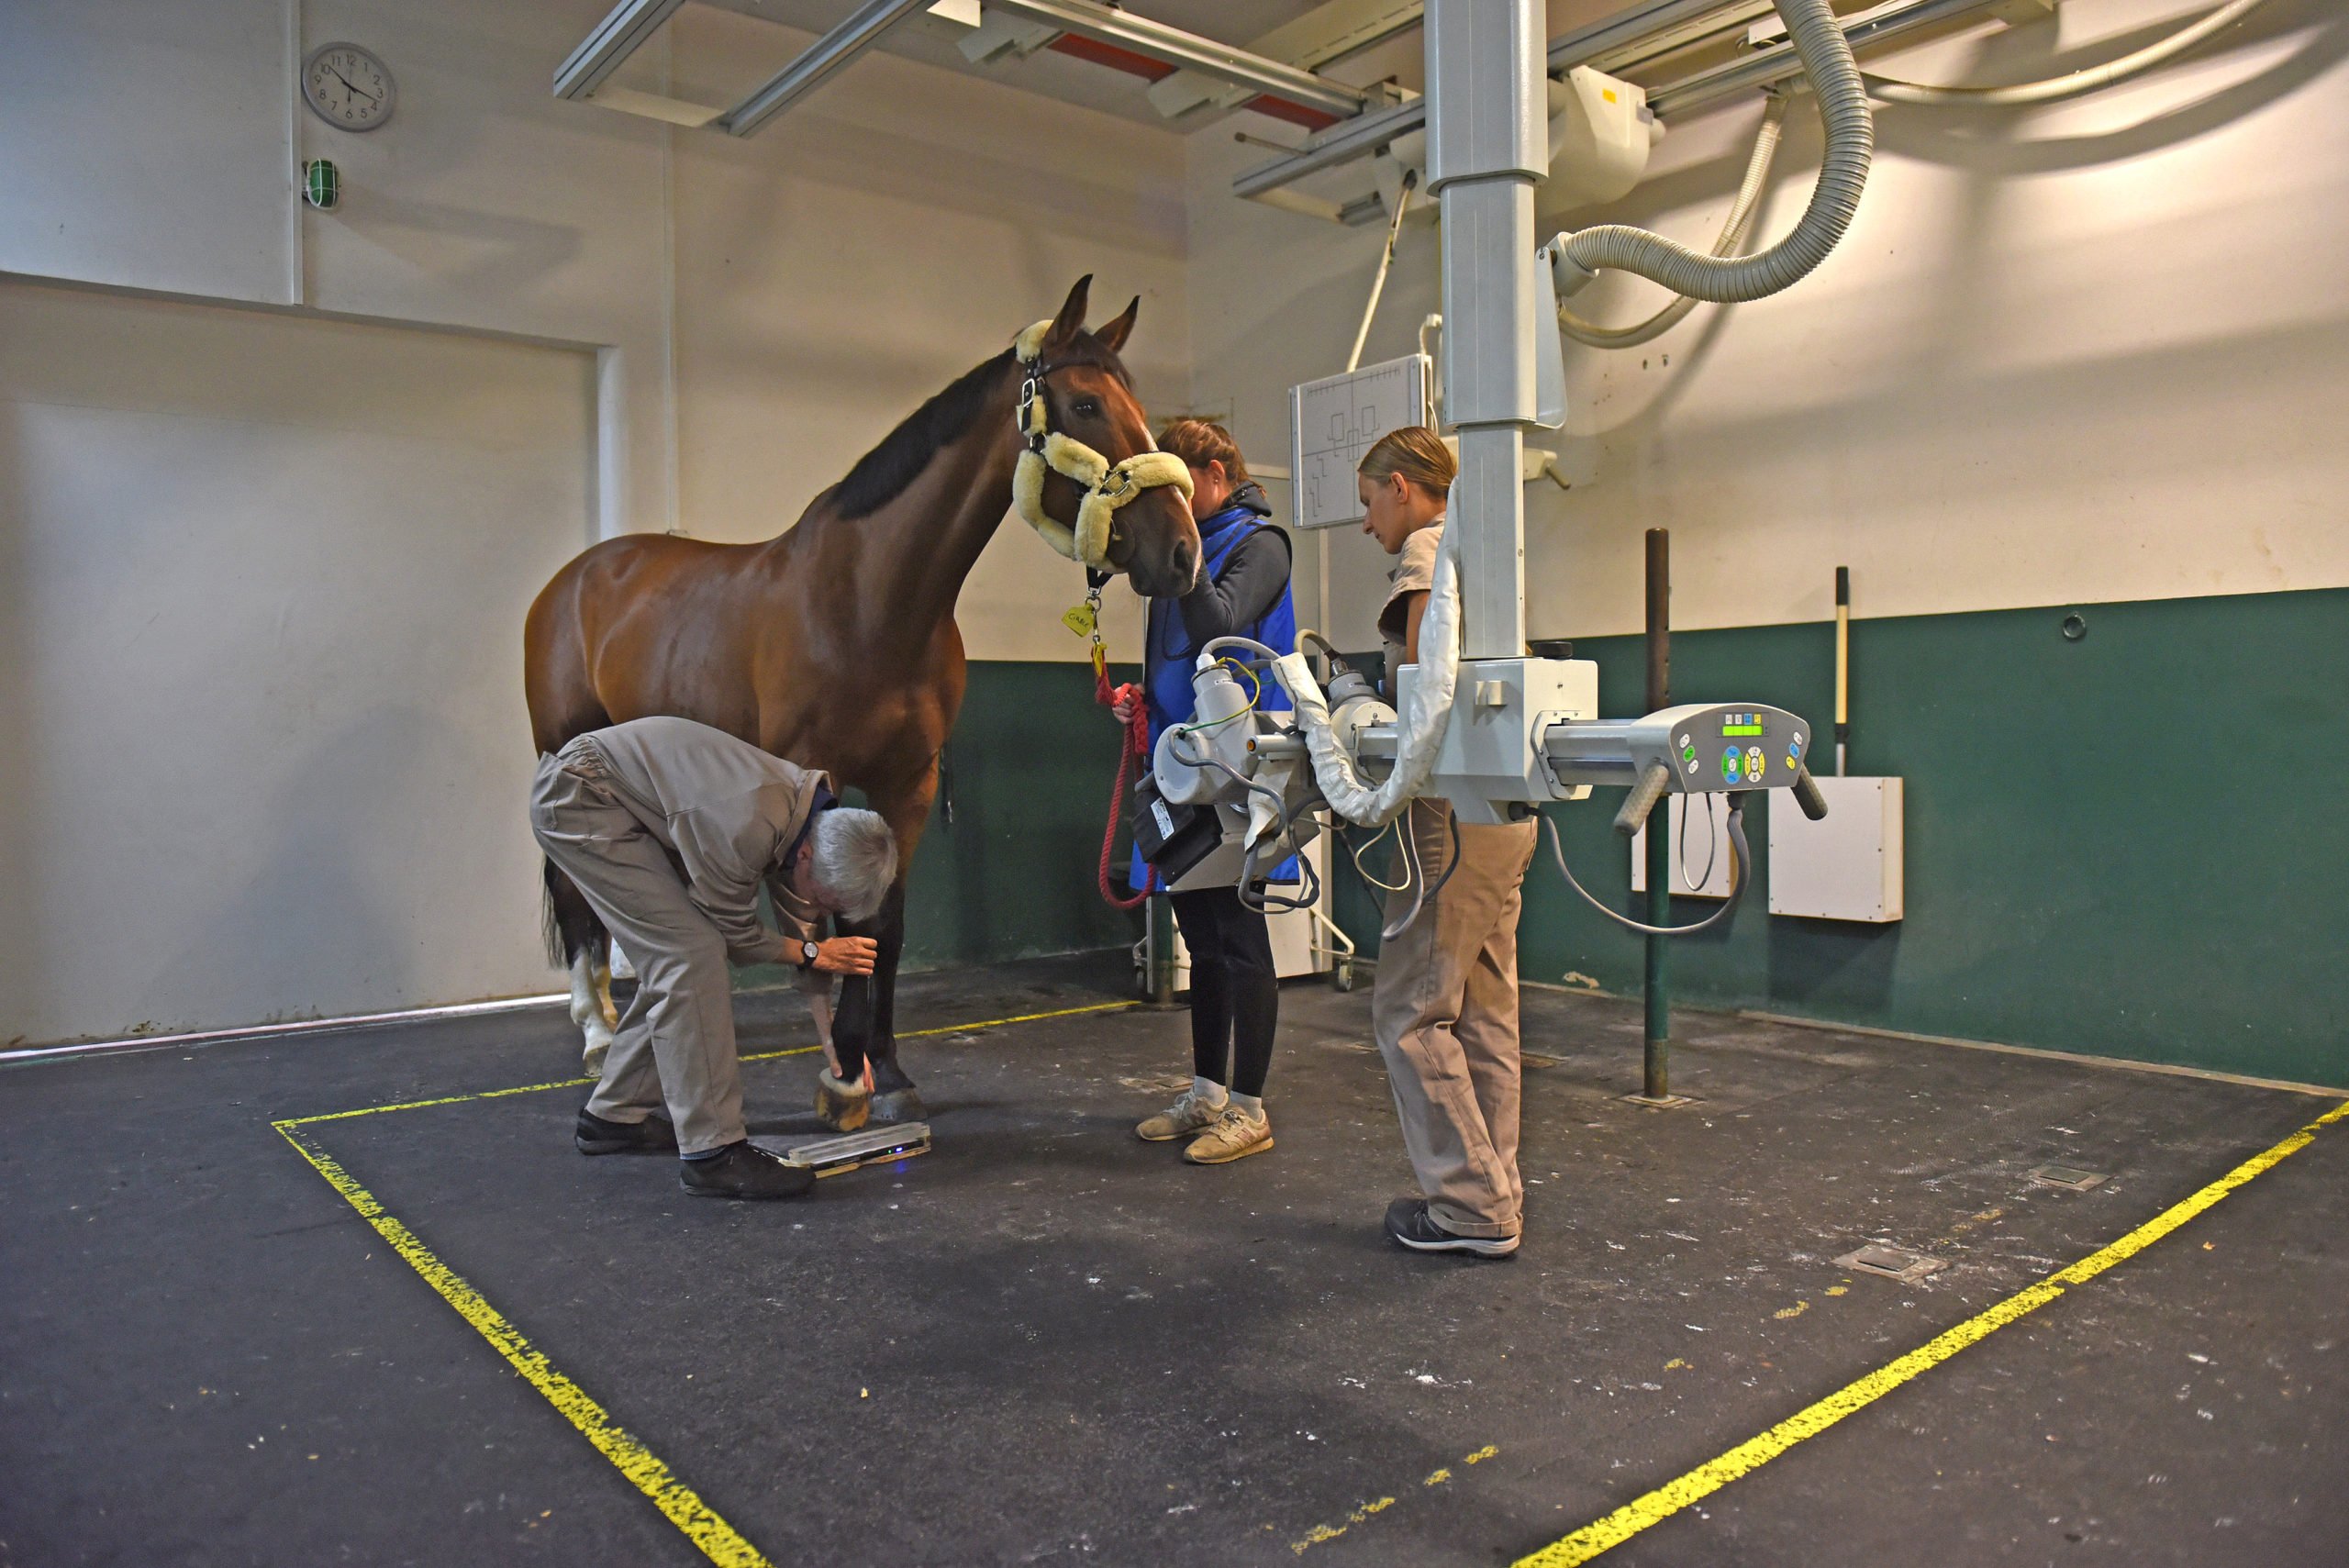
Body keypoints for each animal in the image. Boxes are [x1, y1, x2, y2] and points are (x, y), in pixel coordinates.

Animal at [526, 275, 1202, 1121]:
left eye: (1138, 403)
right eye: (1084, 405)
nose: (1182, 552)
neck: (872, 600)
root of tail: (573, 578)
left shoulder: (907, 784)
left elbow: (887, 923)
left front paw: (887, 1067)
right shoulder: (811, 778)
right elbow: (830, 918)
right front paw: (844, 1067)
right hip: (565, 753)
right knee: (571, 885)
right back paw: (595, 1030)